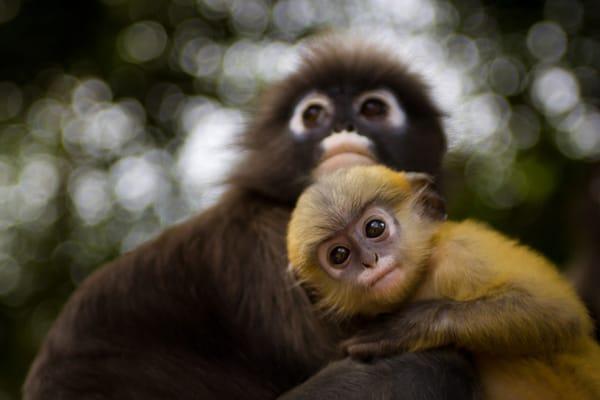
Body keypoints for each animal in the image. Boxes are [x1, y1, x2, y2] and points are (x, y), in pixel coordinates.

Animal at [286, 165, 600, 400]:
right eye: (339, 255)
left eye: (374, 228)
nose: (369, 261)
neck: (422, 276)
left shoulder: (460, 256)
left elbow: (556, 311)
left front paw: (408, 326)